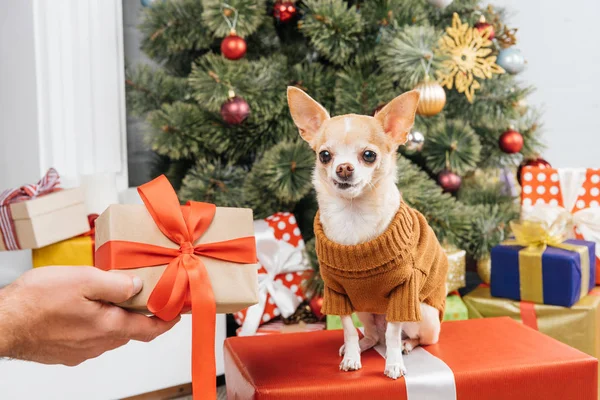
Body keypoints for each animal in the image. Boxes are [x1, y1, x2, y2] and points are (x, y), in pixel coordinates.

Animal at [288, 86, 448, 378]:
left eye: (369, 155)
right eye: (324, 155)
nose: (343, 168)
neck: (353, 214)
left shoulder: (403, 293)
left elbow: (394, 334)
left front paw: (394, 363)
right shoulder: (337, 292)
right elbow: (348, 329)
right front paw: (352, 355)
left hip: (424, 313)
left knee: (413, 337)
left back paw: (407, 345)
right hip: (364, 308)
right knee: (374, 335)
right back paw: (364, 345)